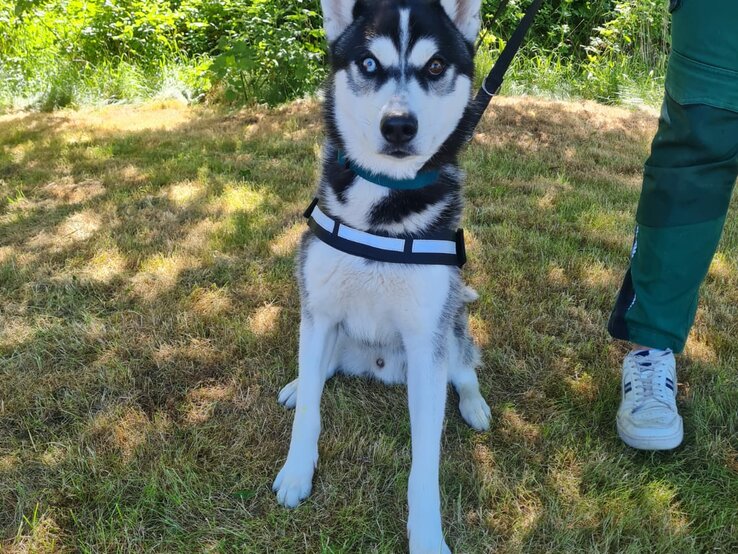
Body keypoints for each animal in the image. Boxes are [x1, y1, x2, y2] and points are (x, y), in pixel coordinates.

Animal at [274, 2, 486, 548]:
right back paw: (298, 384)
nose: (398, 126)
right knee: (318, 371)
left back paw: (475, 404)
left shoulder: (426, 340)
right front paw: (296, 472)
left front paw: (427, 535)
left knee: (465, 366)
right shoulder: (319, 312)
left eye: (435, 66)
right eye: (369, 64)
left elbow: (425, 462)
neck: (382, 204)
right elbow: (309, 412)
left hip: (450, 332)